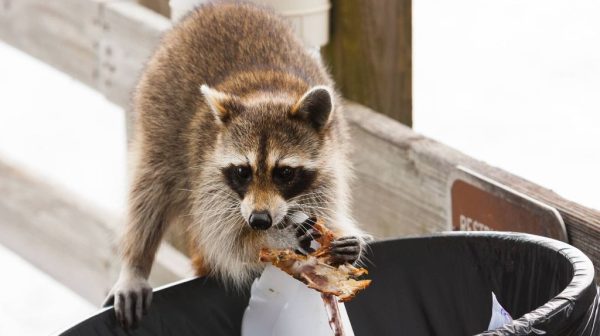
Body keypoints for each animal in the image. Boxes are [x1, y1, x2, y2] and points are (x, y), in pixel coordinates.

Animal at [103, 1, 366, 330]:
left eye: (285, 173)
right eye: (243, 171)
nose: (259, 221)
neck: (267, 94)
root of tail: (220, 5)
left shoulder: (329, 167)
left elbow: (327, 211)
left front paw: (345, 242)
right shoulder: (209, 179)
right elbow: (227, 243)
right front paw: (272, 238)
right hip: (158, 117)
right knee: (150, 188)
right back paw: (135, 264)